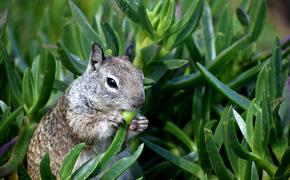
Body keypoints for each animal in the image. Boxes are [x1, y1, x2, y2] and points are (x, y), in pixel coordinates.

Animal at [26, 43, 148, 179]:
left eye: (142, 77)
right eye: (111, 82)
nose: (139, 102)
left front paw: (139, 123)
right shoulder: (74, 114)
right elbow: (86, 128)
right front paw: (109, 119)